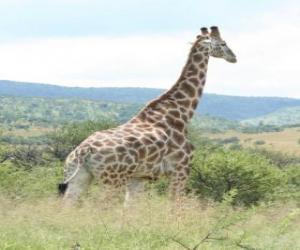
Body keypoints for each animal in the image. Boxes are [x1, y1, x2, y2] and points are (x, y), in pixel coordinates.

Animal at [58, 25, 237, 205]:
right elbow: (175, 205)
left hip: (78, 176)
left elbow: (130, 207)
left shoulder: (140, 177)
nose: (233, 57)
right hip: (113, 179)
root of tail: (83, 151)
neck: (182, 113)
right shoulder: (181, 169)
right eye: (223, 43)